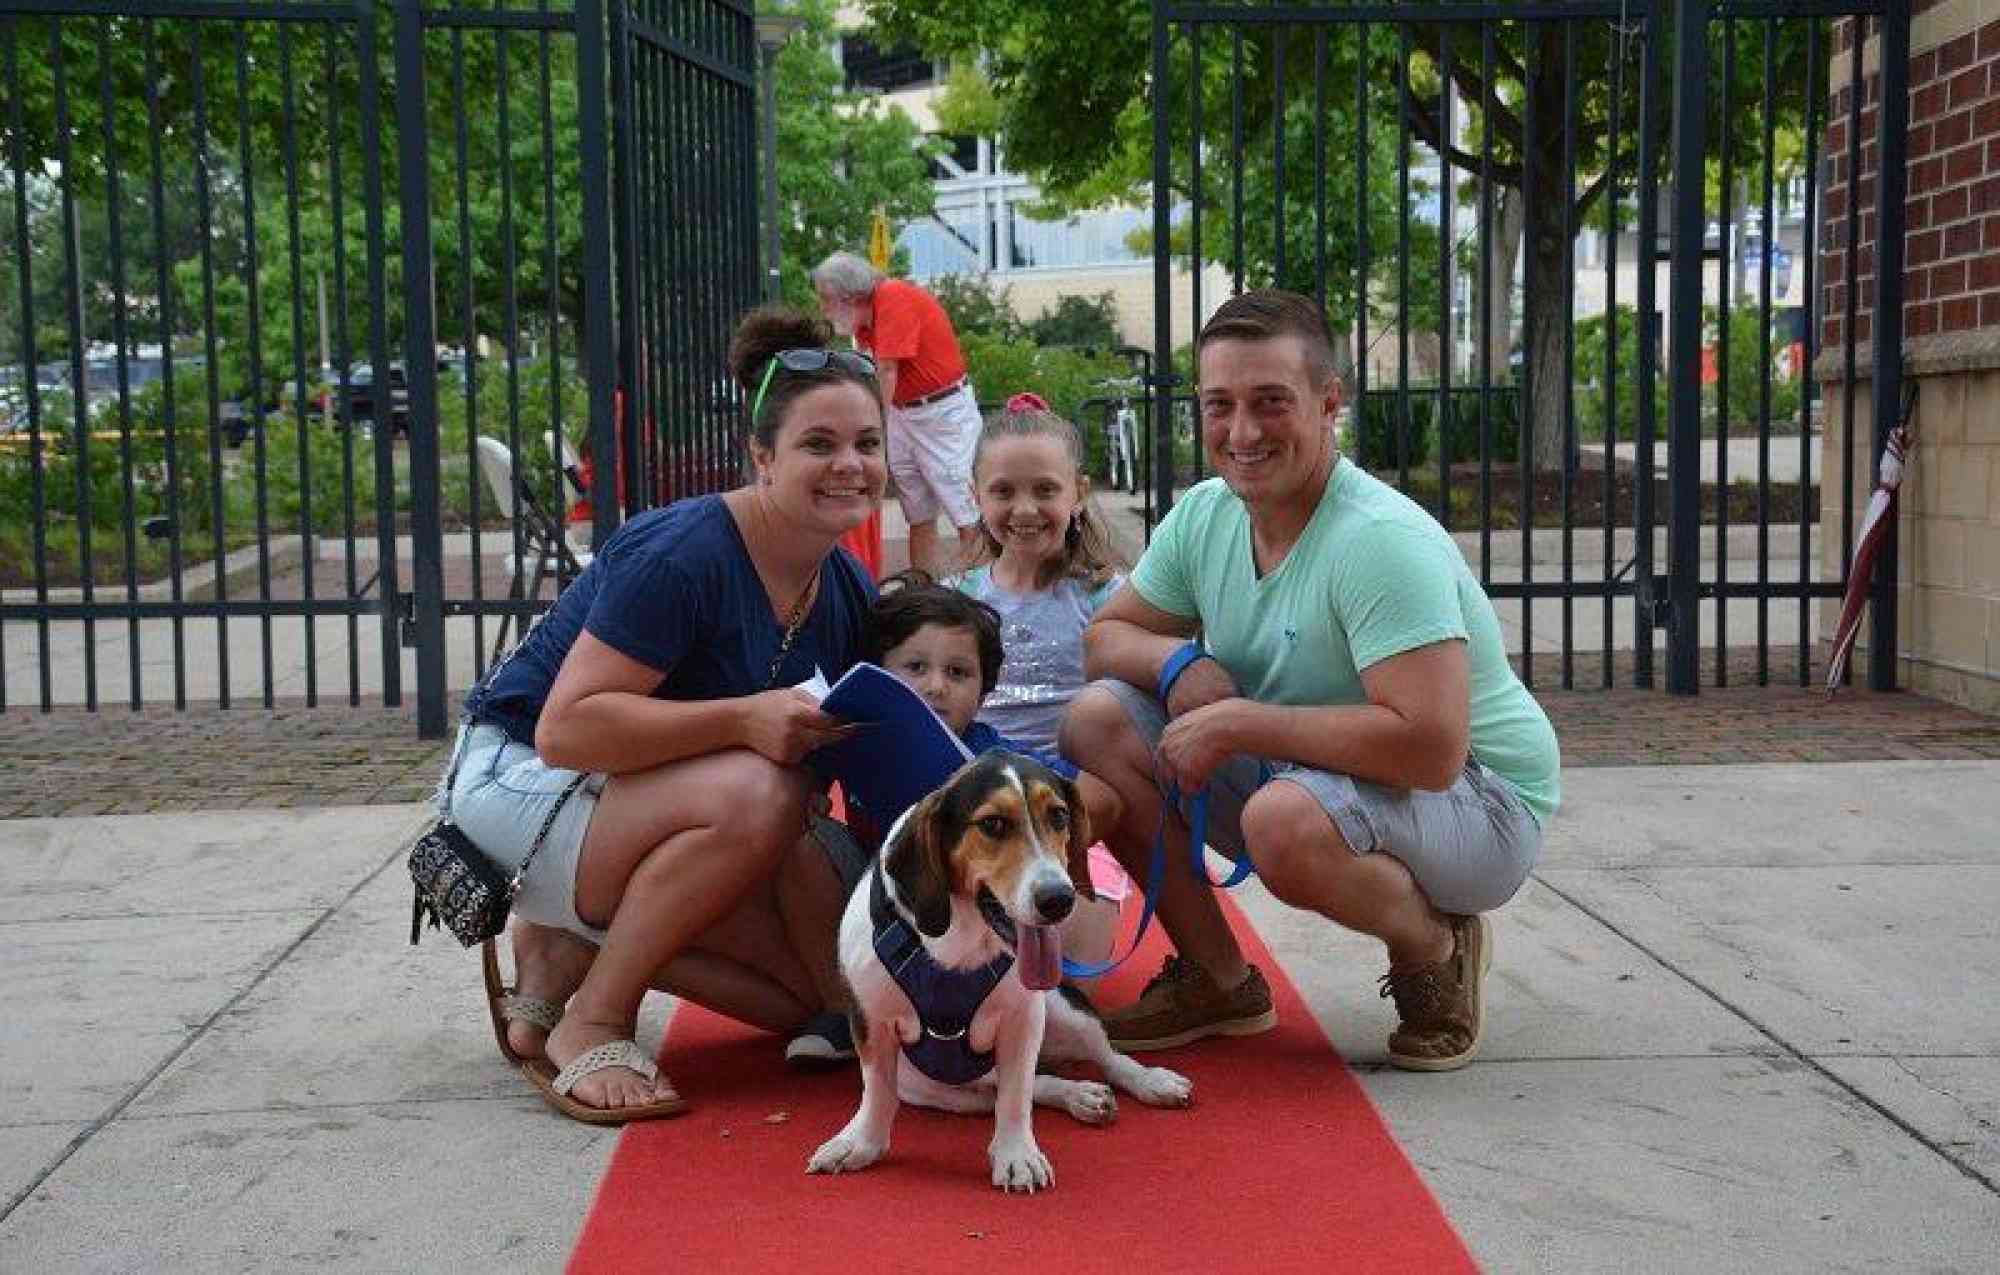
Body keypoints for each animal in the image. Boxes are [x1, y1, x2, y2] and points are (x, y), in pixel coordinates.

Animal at [808, 755, 1184, 1191]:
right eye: (993, 824)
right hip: (931, 1088)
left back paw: (1149, 1082)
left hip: (1064, 1010)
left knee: (1105, 1058)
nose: (1059, 899)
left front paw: (1017, 1155)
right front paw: (860, 1143)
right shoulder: (872, 1020)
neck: (960, 943)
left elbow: (1015, 1096)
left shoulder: (1024, 1019)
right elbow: (877, 1092)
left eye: (1059, 815)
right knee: (1019, 1086)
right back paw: (1079, 1095)